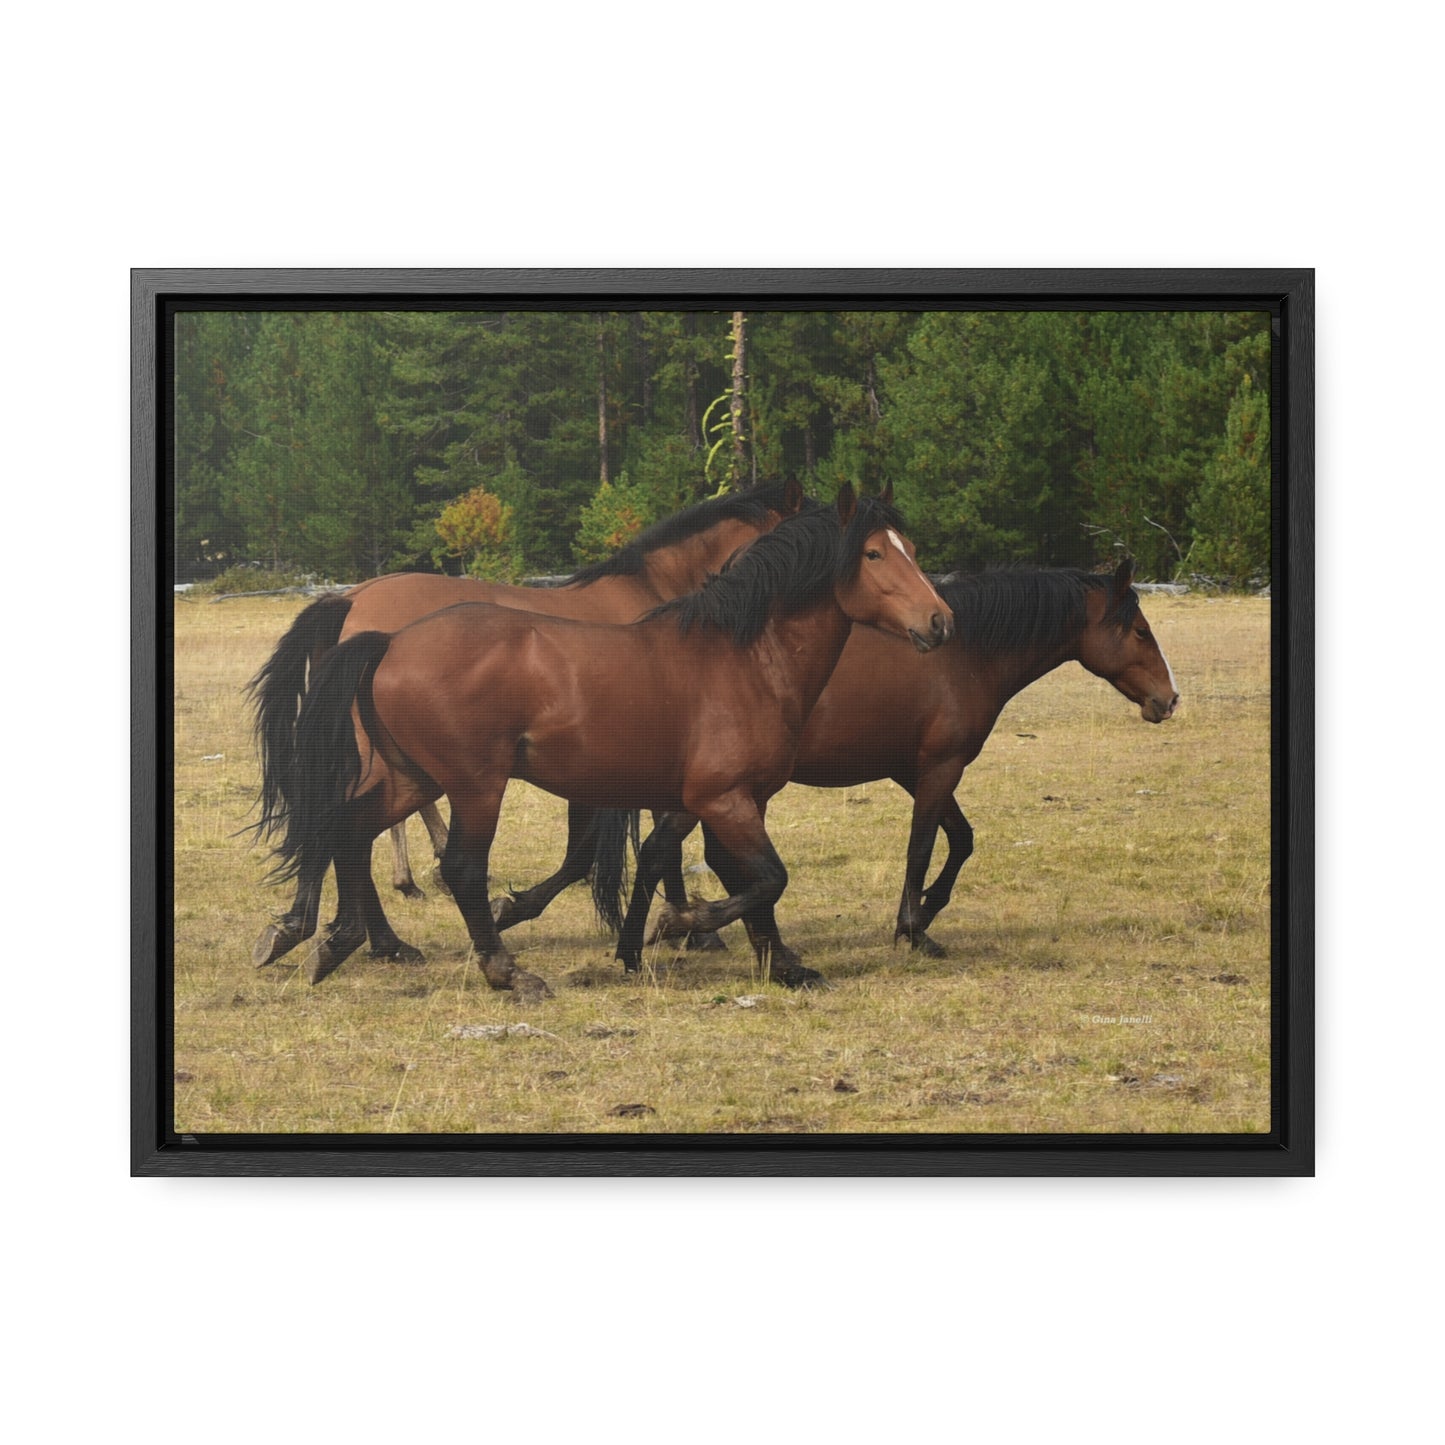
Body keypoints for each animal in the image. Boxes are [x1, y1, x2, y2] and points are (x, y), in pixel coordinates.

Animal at [265, 485, 953, 994]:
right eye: (873, 555)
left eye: (914, 548)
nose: (940, 621)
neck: (744, 655)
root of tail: (384, 637)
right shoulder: (721, 799)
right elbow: (757, 877)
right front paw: (681, 926)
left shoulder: (724, 800)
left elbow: (733, 876)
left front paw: (776, 962)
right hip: (474, 785)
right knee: (456, 865)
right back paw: (503, 970)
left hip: (412, 775)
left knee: (346, 829)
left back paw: (337, 941)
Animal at [604, 557, 1179, 965]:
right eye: (1141, 631)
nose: (1169, 699)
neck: (965, 654)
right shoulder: (941, 767)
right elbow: (922, 847)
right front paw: (913, 928)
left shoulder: (915, 772)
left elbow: (960, 839)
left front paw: (925, 910)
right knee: (673, 853)